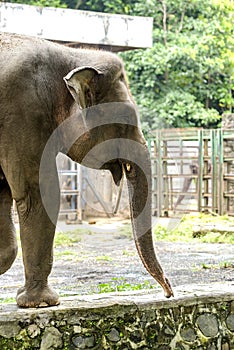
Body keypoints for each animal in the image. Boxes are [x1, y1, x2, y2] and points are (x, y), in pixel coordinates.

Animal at [0, 32, 172, 306]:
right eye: (125, 120)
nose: (168, 292)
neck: (73, 55)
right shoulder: (21, 112)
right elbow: (37, 194)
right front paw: (41, 302)